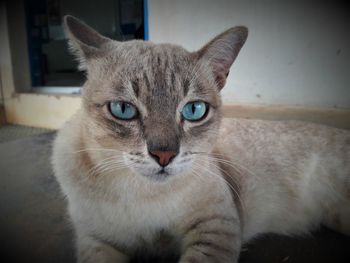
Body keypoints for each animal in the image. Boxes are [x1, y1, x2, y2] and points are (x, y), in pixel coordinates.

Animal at [52, 15, 350, 262]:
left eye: (194, 110)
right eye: (123, 109)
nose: (164, 155)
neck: (144, 196)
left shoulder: (217, 227)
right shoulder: (96, 241)